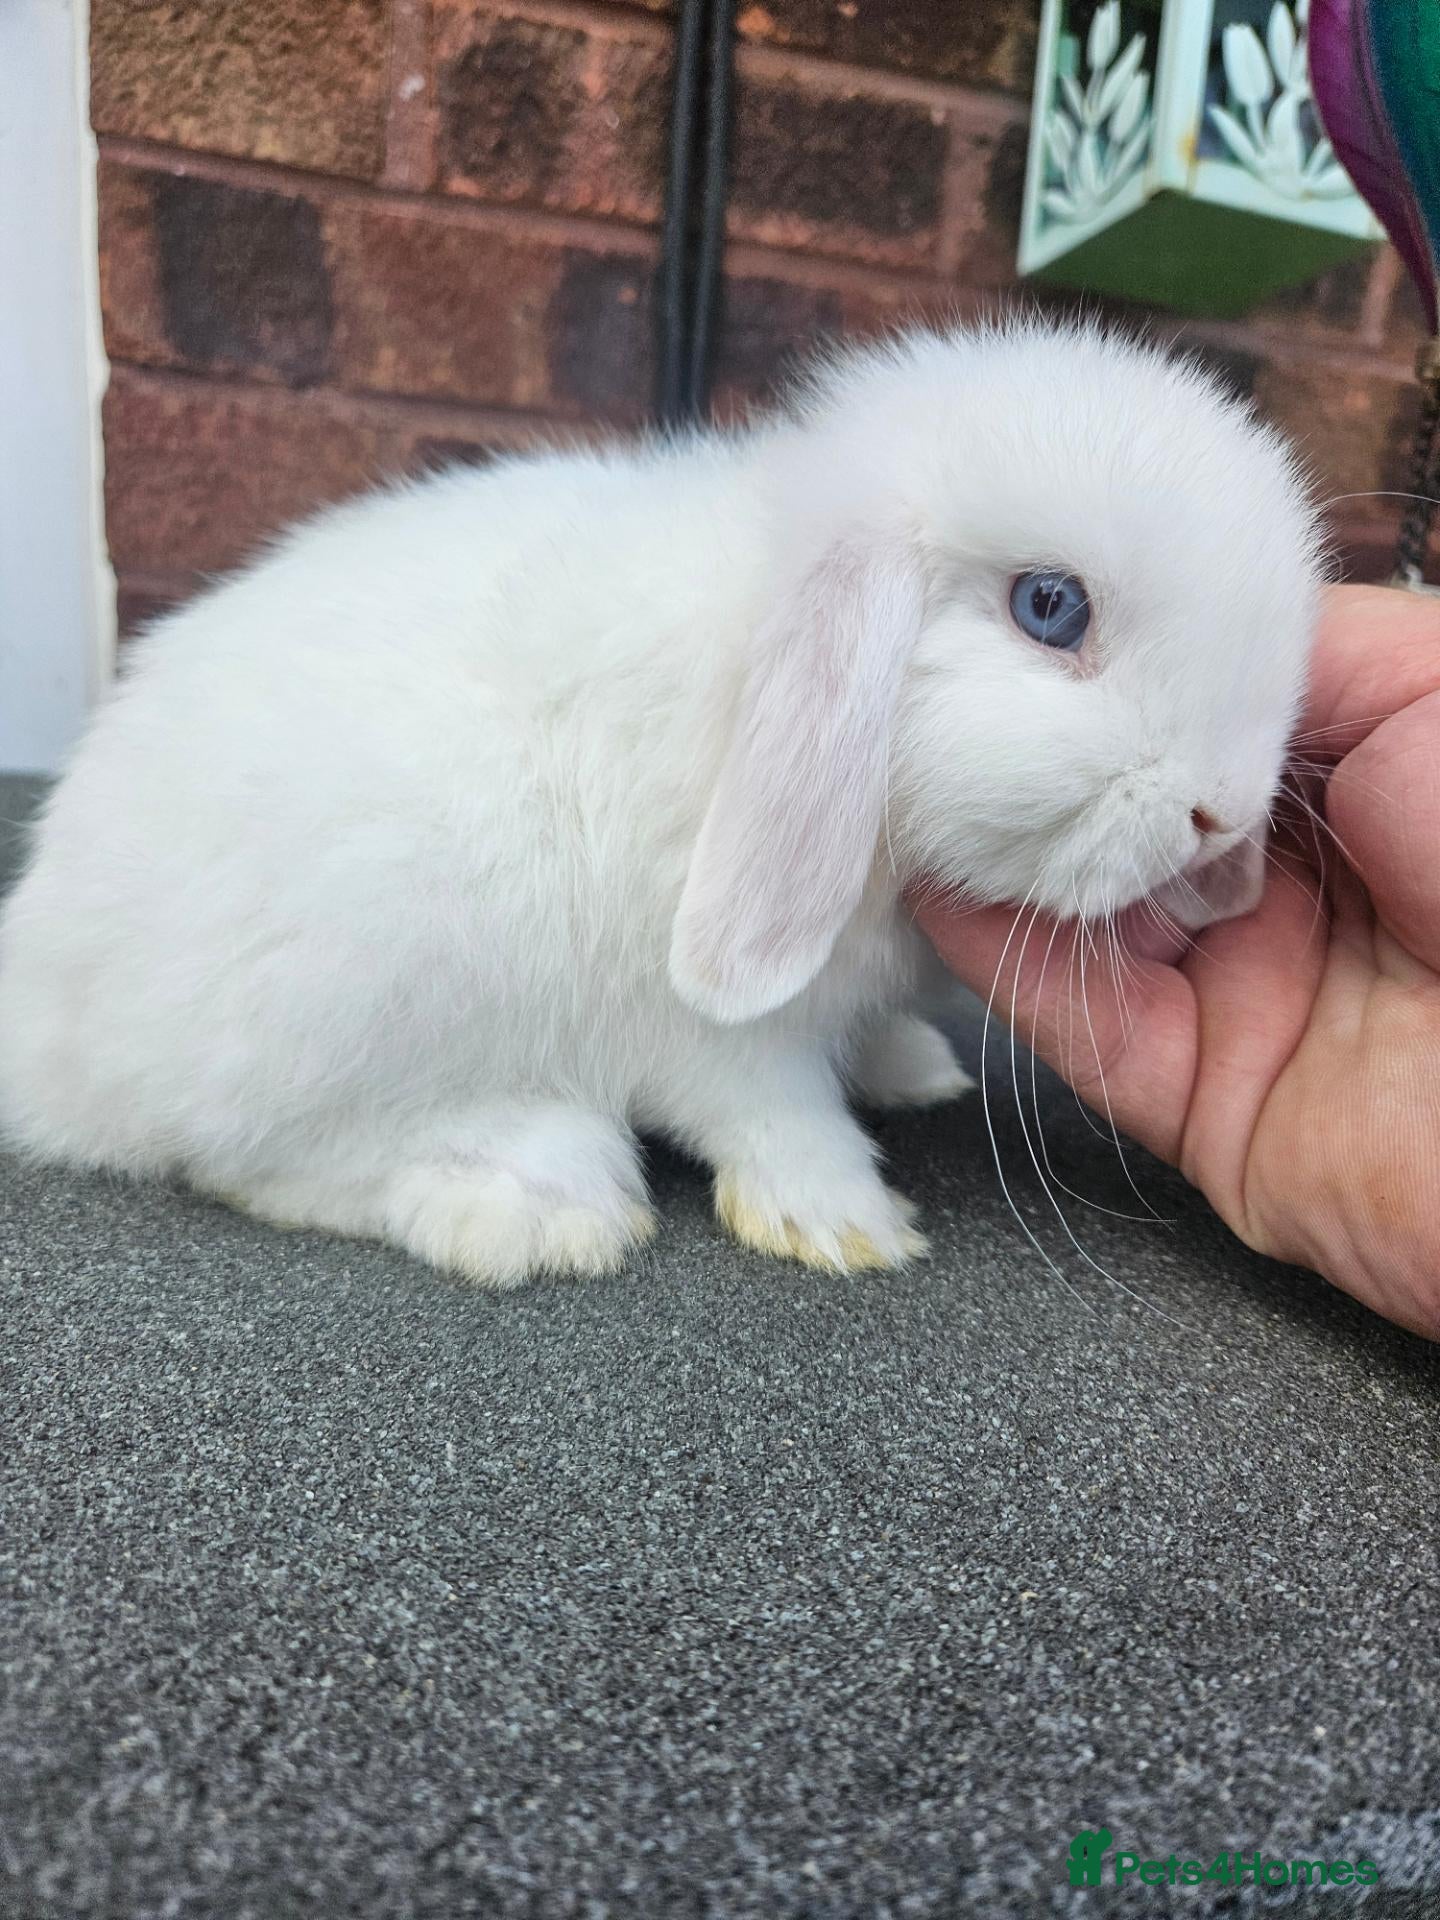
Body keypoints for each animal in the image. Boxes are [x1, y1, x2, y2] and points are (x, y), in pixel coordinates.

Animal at [0, 319, 1322, 1286]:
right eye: (1052, 607)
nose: (1222, 813)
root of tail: (49, 1020)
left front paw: (909, 1066)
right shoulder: (703, 1016)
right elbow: (768, 1102)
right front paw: (847, 1224)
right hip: (379, 956)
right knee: (253, 1155)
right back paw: (536, 1196)